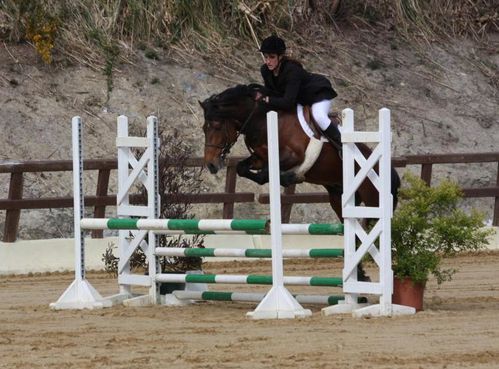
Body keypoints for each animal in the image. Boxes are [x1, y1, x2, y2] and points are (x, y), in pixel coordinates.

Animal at [199, 83, 402, 223]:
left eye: (216, 126)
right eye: (203, 128)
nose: (211, 164)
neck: (261, 119)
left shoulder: (293, 156)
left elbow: (267, 174)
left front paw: (289, 178)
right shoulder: (260, 157)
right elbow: (243, 168)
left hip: (374, 202)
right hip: (339, 198)